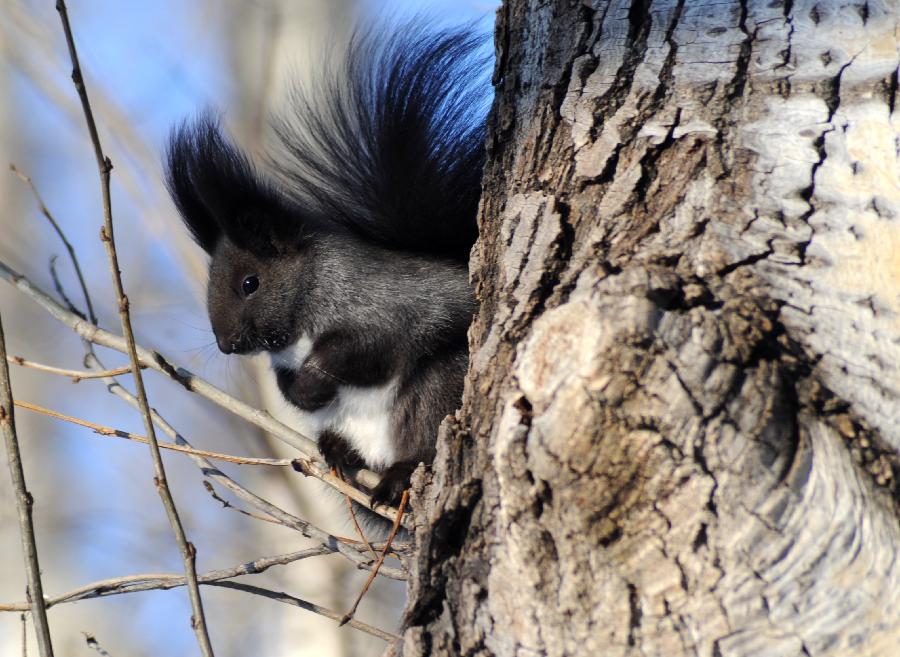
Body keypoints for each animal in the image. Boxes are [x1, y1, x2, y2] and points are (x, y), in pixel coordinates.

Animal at [167, 24, 492, 508]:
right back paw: (338, 449)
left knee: (422, 441)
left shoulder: (382, 307)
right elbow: (287, 385)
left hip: (440, 388)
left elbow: (365, 347)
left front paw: (312, 382)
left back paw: (399, 474)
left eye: (250, 283)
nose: (226, 345)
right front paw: (297, 391)